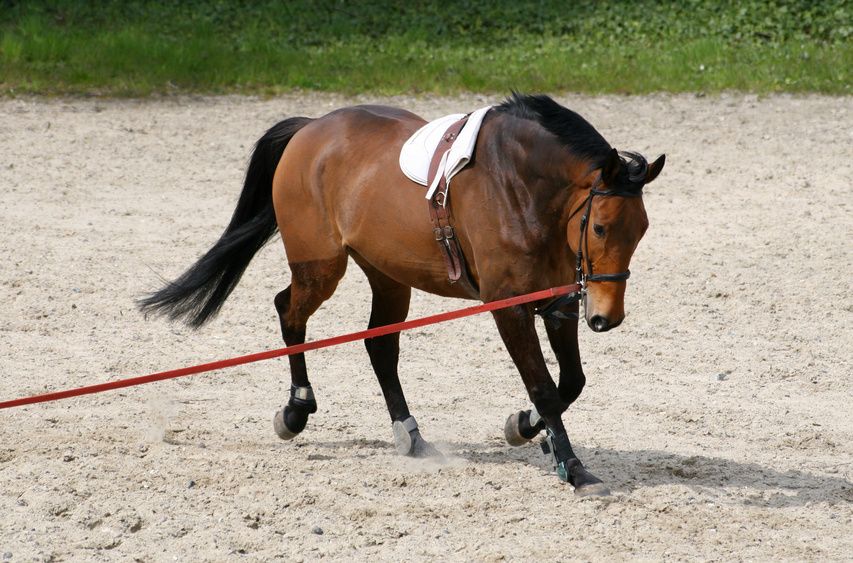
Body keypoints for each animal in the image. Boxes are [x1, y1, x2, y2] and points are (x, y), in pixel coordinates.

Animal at [138, 93, 664, 498]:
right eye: (600, 227)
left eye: (641, 230)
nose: (607, 318)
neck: (522, 187)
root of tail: (310, 130)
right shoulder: (509, 308)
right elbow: (546, 389)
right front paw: (573, 468)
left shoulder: (559, 304)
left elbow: (570, 382)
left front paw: (523, 427)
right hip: (321, 267)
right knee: (290, 312)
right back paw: (295, 411)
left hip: (389, 275)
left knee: (379, 344)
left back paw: (408, 433)